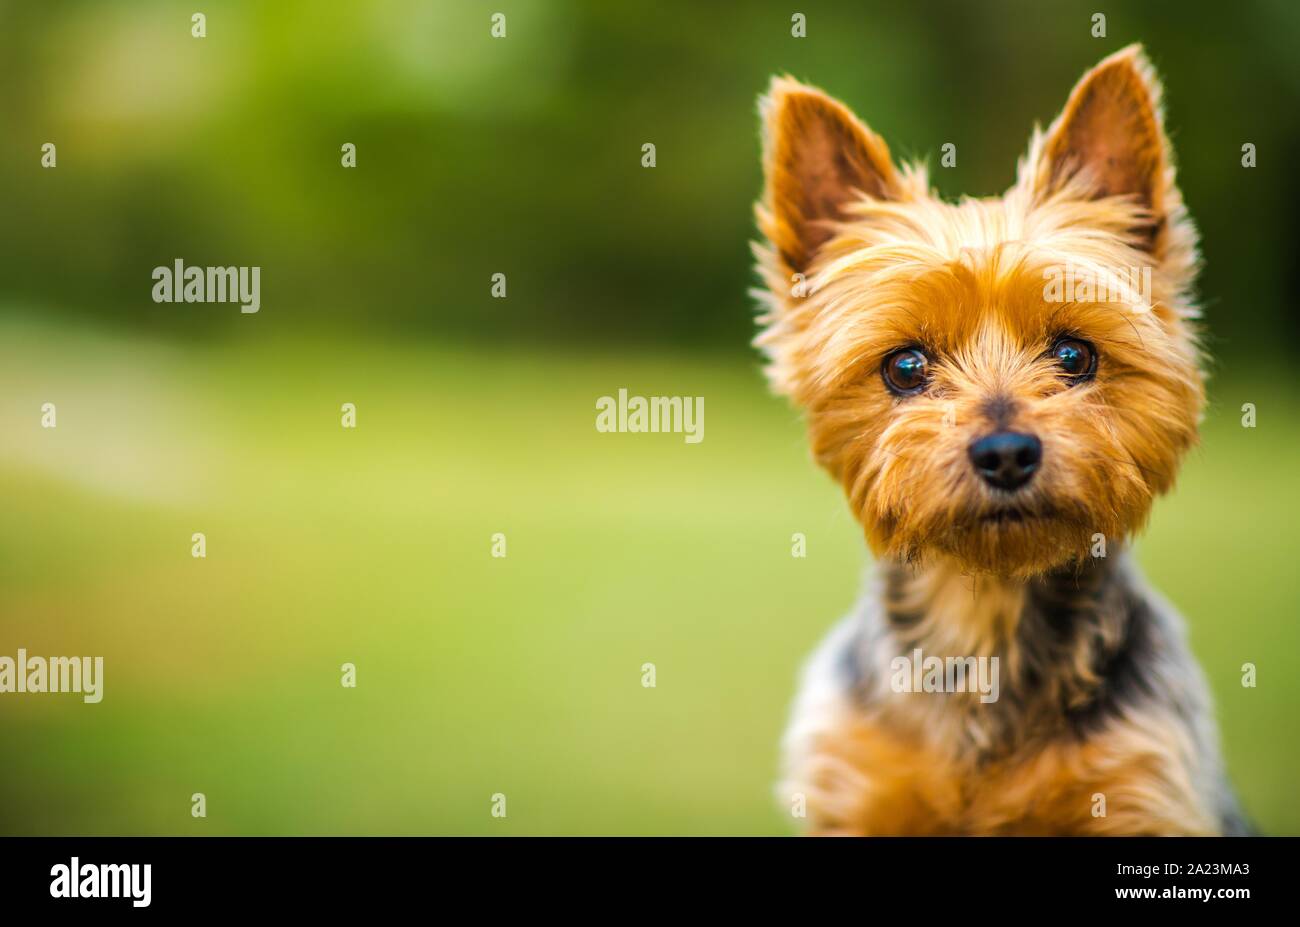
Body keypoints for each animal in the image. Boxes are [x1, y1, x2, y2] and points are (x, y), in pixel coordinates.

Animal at [754, 47, 1248, 837]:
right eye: (904, 367)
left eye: (1075, 355)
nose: (1006, 453)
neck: (984, 610)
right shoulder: (856, 785)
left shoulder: (1142, 784)